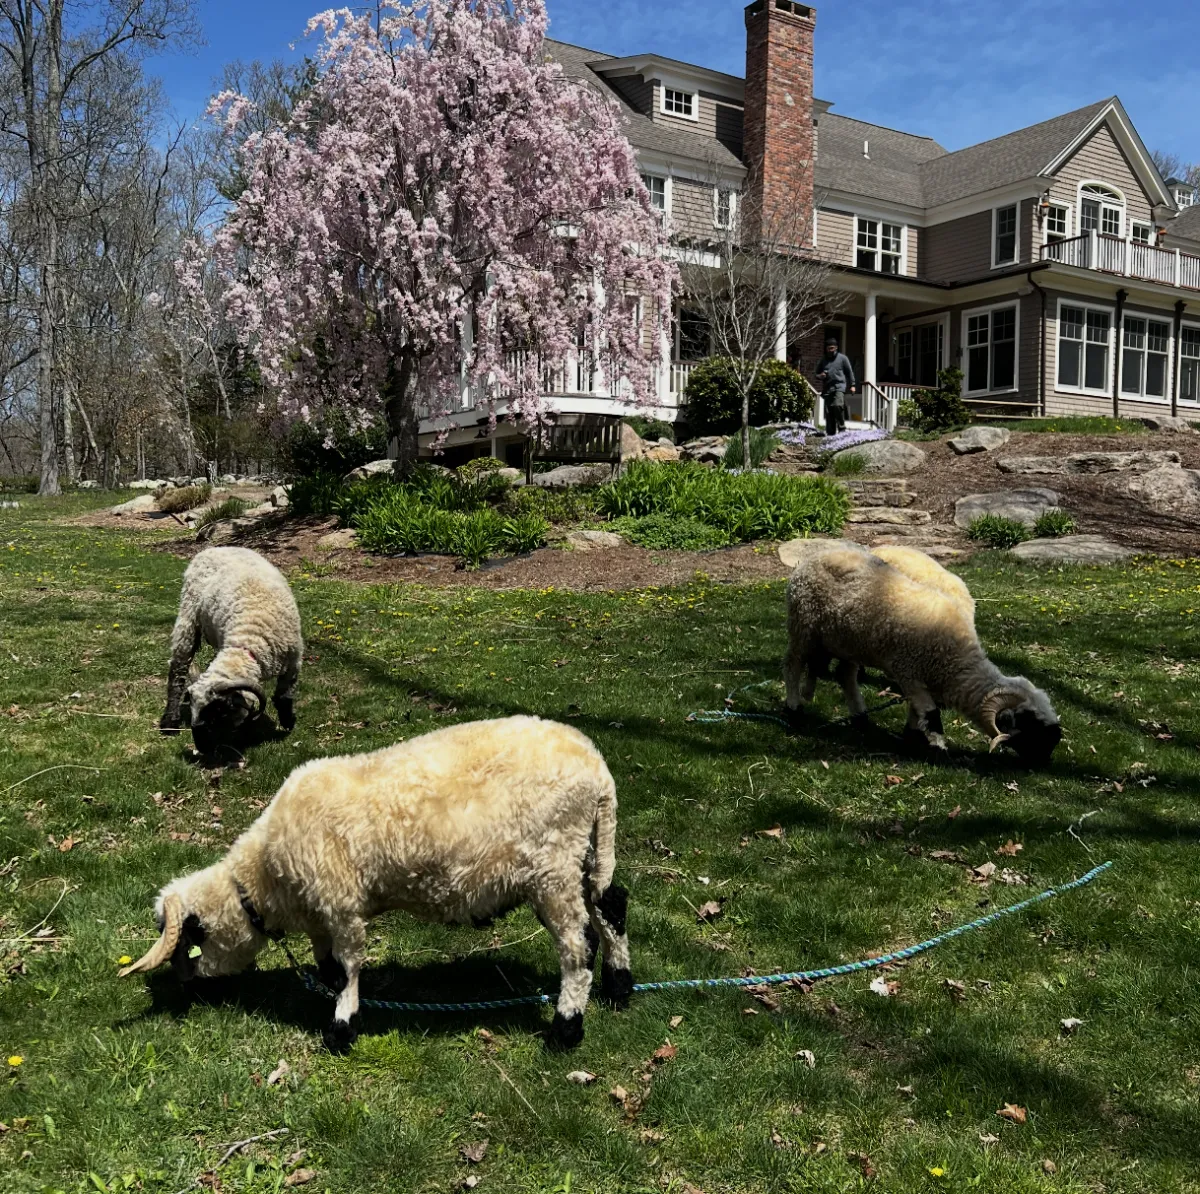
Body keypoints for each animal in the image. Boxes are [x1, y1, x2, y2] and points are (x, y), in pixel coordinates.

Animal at [120, 716, 633, 1051]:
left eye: (192, 937)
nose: (188, 985)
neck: (268, 882)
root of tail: (599, 772)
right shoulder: (322, 908)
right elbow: (327, 960)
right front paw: (330, 994)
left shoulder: (340, 902)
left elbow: (348, 966)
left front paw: (341, 1027)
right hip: (584, 853)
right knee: (612, 905)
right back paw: (620, 985)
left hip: (553, 863)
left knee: (577, 945)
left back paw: (566, 1028)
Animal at [159, 547, 303, 754]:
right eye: (194, 709)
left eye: (219, 711)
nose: (202, 748)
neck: (250, 640)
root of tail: (215, 548)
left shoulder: (293, 661)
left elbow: (285, 695)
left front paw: (288, 722)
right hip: (188, 615)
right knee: (178, 671)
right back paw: (170, 721)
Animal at [784, 540, 1061, 764]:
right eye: (1030, 724)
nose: (1045, 761)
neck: (954, 660)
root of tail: (816, 556)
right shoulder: (908, 671)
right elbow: (930, 713)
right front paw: (938, 749)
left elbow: (919, 711)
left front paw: (913, 736)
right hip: (803, 625)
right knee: (792, 664)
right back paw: (793, 708)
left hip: (850, 640)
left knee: (845, 675)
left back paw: (860, 718)